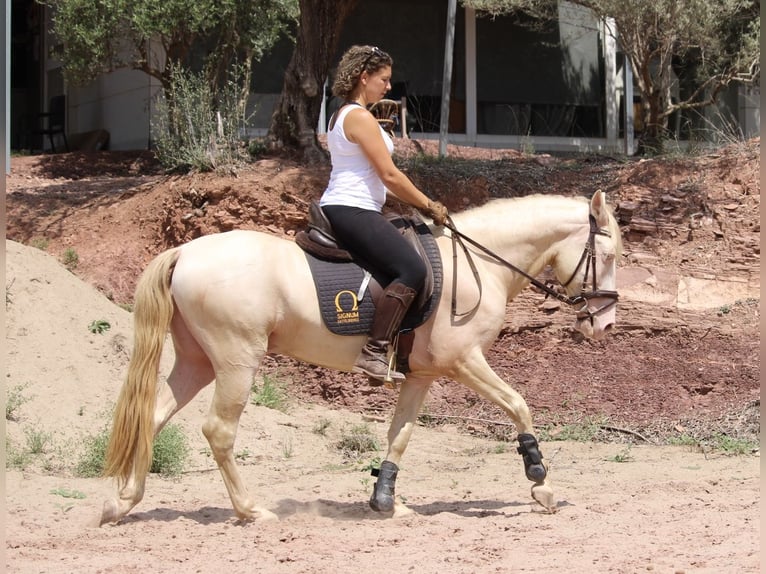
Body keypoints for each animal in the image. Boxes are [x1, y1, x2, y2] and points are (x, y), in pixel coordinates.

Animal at [99, 191, 624, 524]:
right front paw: (540, 482)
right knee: (219, 431)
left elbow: (400, 435)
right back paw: (250, 511)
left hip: (197, 362)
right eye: (610, 255)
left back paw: (122, 503)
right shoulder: (464, 361)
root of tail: (185, 252)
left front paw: (386, 500)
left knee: (152, 417)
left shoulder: (422, 375)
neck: (482, 263)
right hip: (236, 361)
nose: (604, 325)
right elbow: (518, 405)